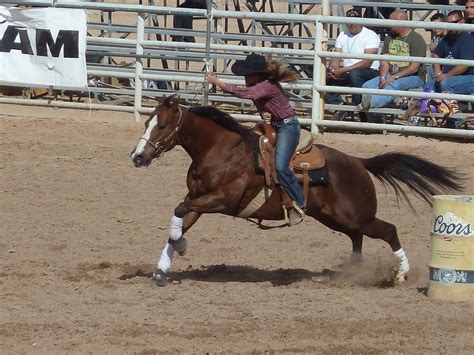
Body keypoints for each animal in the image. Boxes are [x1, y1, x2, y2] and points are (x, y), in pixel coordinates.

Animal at [131, 95, 462, 290]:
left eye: (162, 125)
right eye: (146, 122)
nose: (137, 156)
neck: (221, 151)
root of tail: (358, 162)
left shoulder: (225, 201)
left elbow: (179, 212)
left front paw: (181, 246)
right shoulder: (197, 200)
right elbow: (178, 218)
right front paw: (164, 267)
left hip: (355, 215)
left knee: (388, 230)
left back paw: (401, 274)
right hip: (335, 218)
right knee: (357, 238)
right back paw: (352, 273)